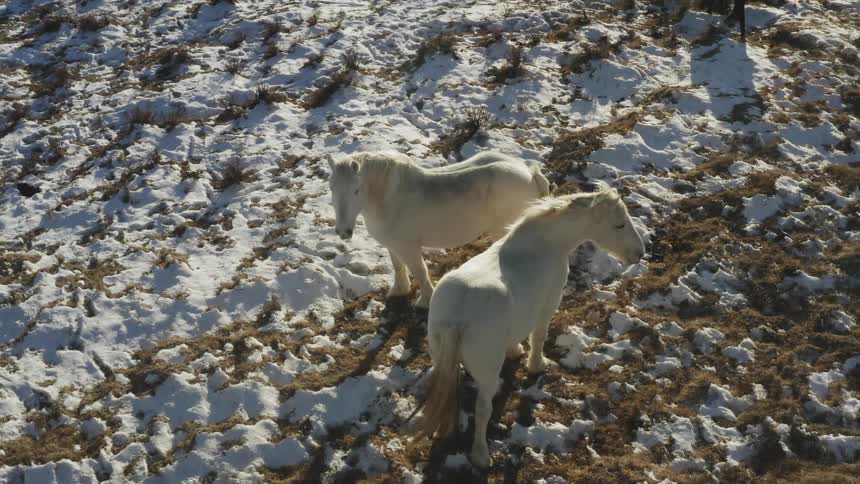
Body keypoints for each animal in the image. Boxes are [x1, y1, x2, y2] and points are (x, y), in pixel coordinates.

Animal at [327, 151, 550, 307]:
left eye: (356, 190)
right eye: (331, 188)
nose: (343, 231)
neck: (388, 198)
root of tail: (529, 172)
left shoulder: (408, 247)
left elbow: (420, 271)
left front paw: (425, 301)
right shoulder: (392, 244)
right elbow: (398, 266)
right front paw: (399, 290)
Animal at [413, 183, 646, 468]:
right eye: (620, 224)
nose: (639, 253)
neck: (544, 243)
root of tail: (459, 312)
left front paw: (515, 352)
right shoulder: (547, 306)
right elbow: (539, 337)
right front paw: (536, 365)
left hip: (440, 357)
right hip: (488, 375)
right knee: (482, 409)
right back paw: (481, 455)